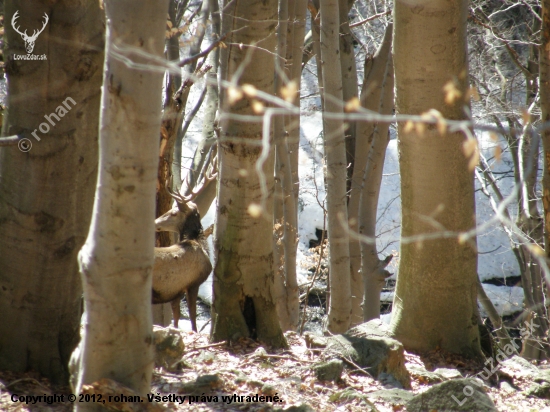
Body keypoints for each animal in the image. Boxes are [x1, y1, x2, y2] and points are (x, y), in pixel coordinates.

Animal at [153, 161, 218, 332]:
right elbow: (193, 319)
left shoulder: (177, 290)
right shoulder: (193, 282)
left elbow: (176, 318)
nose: (155, 222)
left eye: (174, 213)